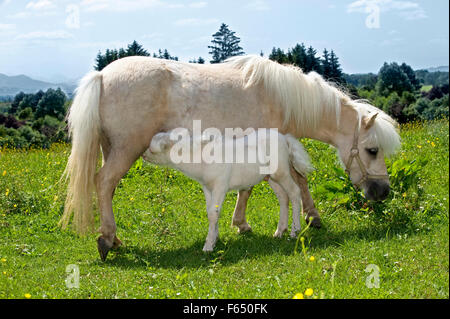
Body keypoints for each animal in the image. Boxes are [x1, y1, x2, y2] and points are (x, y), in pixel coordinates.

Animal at [144, 129, 312, 252]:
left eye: (152, 150)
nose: (143, 155)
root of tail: (285, 138)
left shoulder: (220, 185)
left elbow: (213, 212)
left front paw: (208, 246)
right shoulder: (207, 187)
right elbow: (211, 211)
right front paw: (215, 238)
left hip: (281, 172)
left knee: (294, 192)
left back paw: (294, 231)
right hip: (271, 177)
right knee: (283, 197)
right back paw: (279, 231)